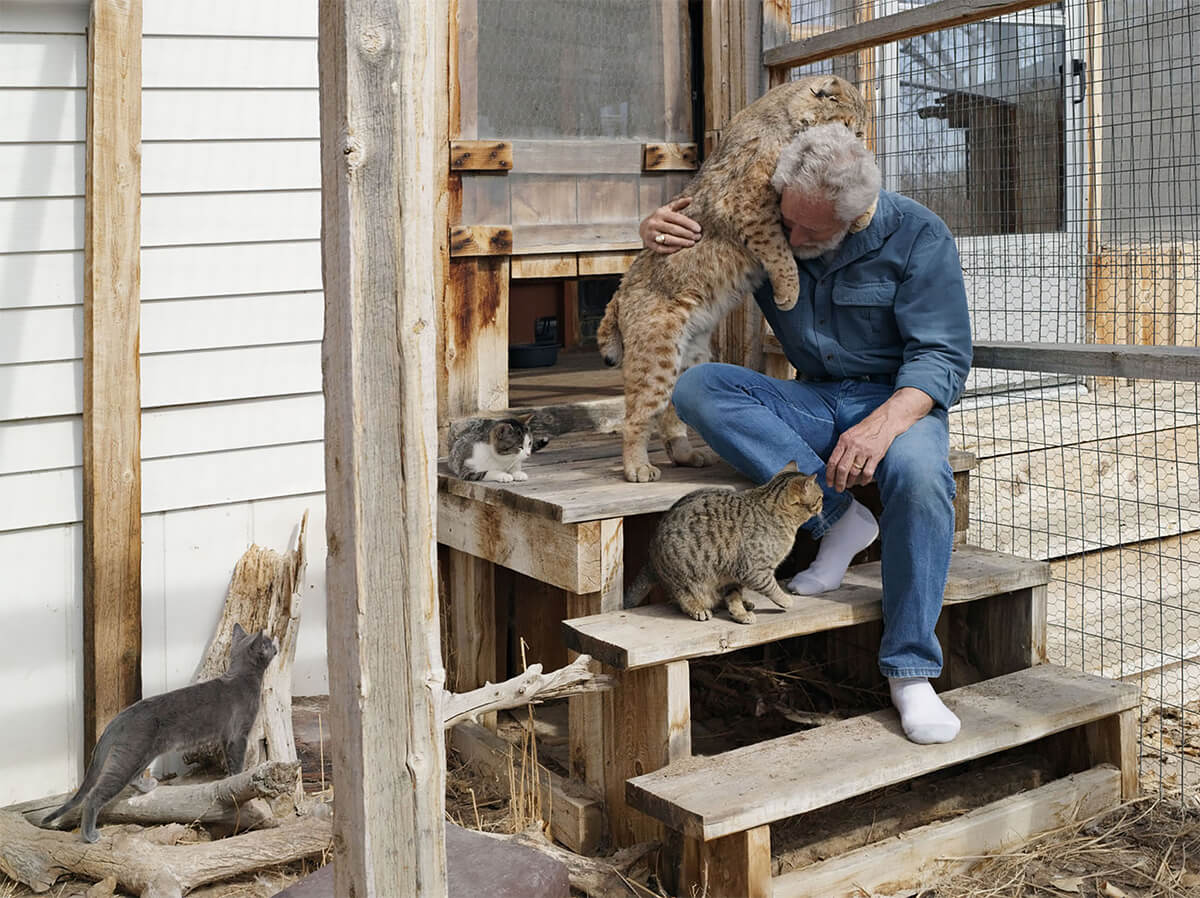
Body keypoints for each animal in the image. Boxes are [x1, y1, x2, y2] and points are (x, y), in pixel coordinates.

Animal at [41, 624, 277, 840]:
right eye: (268, 643)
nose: (276, 645)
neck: (242, 677)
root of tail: (119, 717)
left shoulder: (226, 737)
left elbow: (228, 760)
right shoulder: (239, 735)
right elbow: (236, 762)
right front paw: (238, 780)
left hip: (142, 753)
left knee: (132, 778)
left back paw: (148, 786)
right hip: (130, 755)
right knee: (94, 795)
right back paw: (90, 835)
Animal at [597, 75, 873, 485]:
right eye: (850, 128)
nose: (858, 145)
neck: (786, 117)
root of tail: (618, 292)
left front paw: (865, 210)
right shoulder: (750, 203)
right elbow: (779, 251)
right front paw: (789, 292)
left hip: (691, 355)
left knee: (671, 408)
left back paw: (684, 453)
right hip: (657, 353)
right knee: (638, 414)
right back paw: (636, 467)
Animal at [619, 463, 825, 624]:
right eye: (821, 497)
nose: (823, 503)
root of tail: (651, 557)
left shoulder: (735, 574)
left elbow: (734, 598)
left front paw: (740, 613)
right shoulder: (755, 571)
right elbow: (772, 587)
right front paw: (785, 600)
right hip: (686, 578)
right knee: (682, 598)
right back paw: (698, 609)